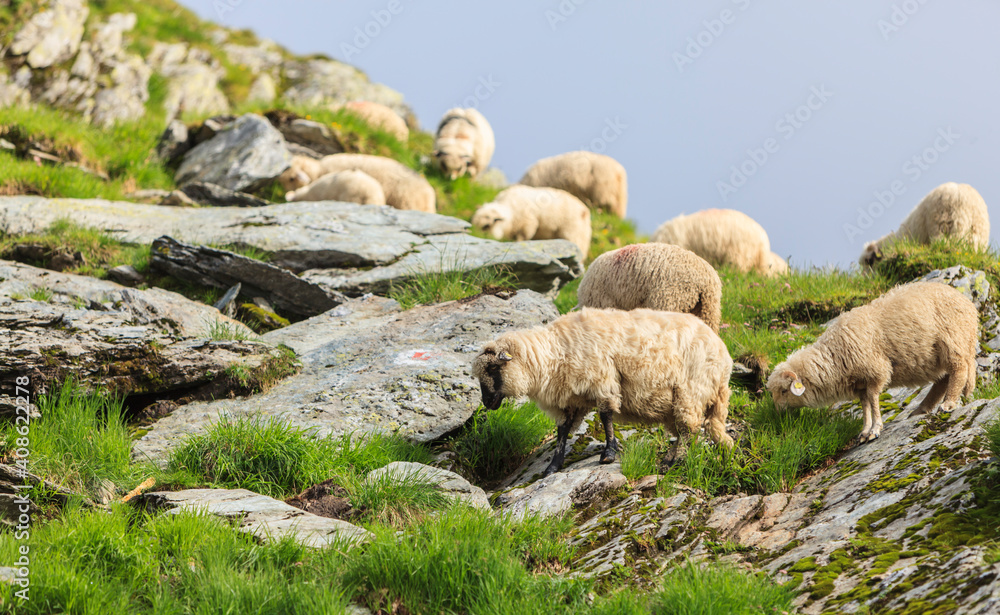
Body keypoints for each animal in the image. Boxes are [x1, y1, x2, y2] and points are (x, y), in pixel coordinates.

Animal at [472, 308, 734, 476]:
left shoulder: (603, 380)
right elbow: (562, 431)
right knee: (689, 431)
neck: (554, 353)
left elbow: (606, 416)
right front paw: (553, 466)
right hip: (681, 400)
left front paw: (609, 453)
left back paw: (672, 462)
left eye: (493, 368)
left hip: (691, 390)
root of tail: (724, 356)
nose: (486, 402)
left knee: (689, 430)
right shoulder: (569, 400)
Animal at [767, 281, 978, 444]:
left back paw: (948, 403)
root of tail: (968, 303)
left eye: (784, 391)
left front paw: (875, 429)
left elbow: (874, 400)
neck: (834, 355)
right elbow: (865, 404)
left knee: (959, 369)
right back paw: (921, 409)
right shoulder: (860, 382)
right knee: (943, 379)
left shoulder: (876, 370)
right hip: (934, 357)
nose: (777, 414)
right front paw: (864, 431)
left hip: (952, 340)